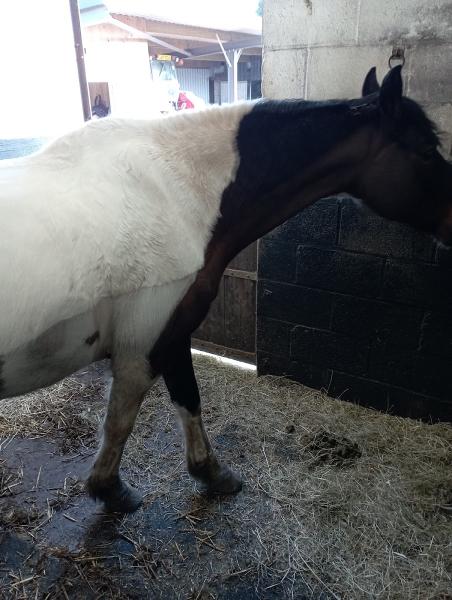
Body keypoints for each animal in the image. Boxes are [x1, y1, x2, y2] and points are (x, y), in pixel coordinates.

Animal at [0, 68, 452, 512]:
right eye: (427, 151)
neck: (174, 189)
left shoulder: (169, 338)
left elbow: (184, 400)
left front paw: (205, 473)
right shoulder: (145, 346)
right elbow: (132, 418)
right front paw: (118, 488)